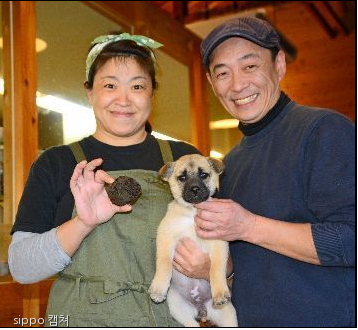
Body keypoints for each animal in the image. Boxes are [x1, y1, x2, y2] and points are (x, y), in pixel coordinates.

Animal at [148, 154, 238, 328]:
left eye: (203, 175)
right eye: (182, 178)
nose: (195, 189)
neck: (193, 213)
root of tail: (202, 309)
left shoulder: (219, 245)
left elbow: (216, 268)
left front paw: (219, 292)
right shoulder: (165, 238)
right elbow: (164, 264)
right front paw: (158, 289)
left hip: (228, 317)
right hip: (181, 312)